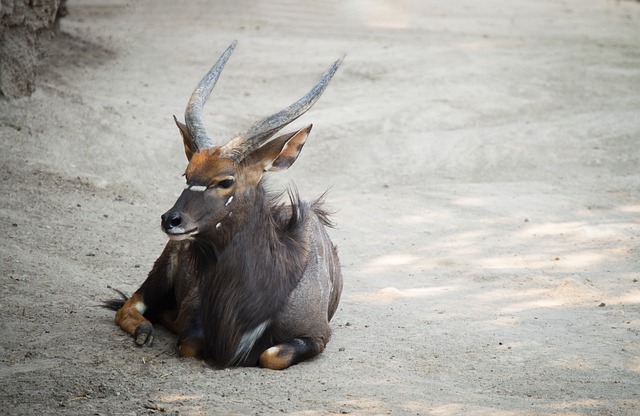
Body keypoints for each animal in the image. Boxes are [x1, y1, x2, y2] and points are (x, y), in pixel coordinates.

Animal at [107, 40, 342, 368]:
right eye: (187, 173)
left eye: (225, 181)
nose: (171, 220)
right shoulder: (194, 314)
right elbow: (189, 344)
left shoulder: (318, 335)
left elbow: (271, 355)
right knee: (130, 305)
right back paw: (145, 331)